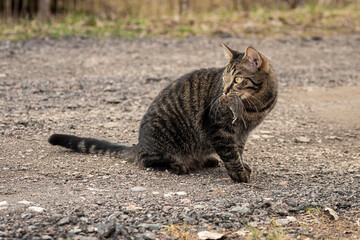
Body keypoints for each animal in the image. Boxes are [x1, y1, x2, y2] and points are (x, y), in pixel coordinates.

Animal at [48, 44, 278, 183]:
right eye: (224, 78)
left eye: (237, 79)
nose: (224, 91)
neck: (255, 106)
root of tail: (139, 145)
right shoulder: (219, 129)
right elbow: (230, 152)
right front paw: (238, 172)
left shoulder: (242, 132)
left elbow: (238, 150)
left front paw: (242, 165)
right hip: (164, 142)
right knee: (148, 161)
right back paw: (178, 164)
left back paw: (206, 160)